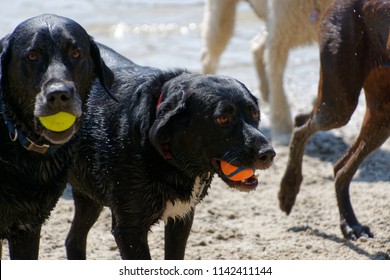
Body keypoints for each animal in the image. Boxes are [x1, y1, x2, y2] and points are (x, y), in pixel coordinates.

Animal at [65, 45, 276, 258]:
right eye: (223, 118)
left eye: (255, 113)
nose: (268, 154)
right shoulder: (128, 229)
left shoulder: (182, 216)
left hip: (89, 195)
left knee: (73, 239)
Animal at [201, 0, 332, 144]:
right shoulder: (279, 37)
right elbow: (278, 87)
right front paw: (283, 132)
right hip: (221, 17)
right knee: (209, 56)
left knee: (257, 46)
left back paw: (265, 91)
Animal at [278, 0, 388, 241]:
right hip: (340, 103)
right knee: (301, 125)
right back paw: (288, 191)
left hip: (381, 115)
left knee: (340, 168)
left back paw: (350, 223)